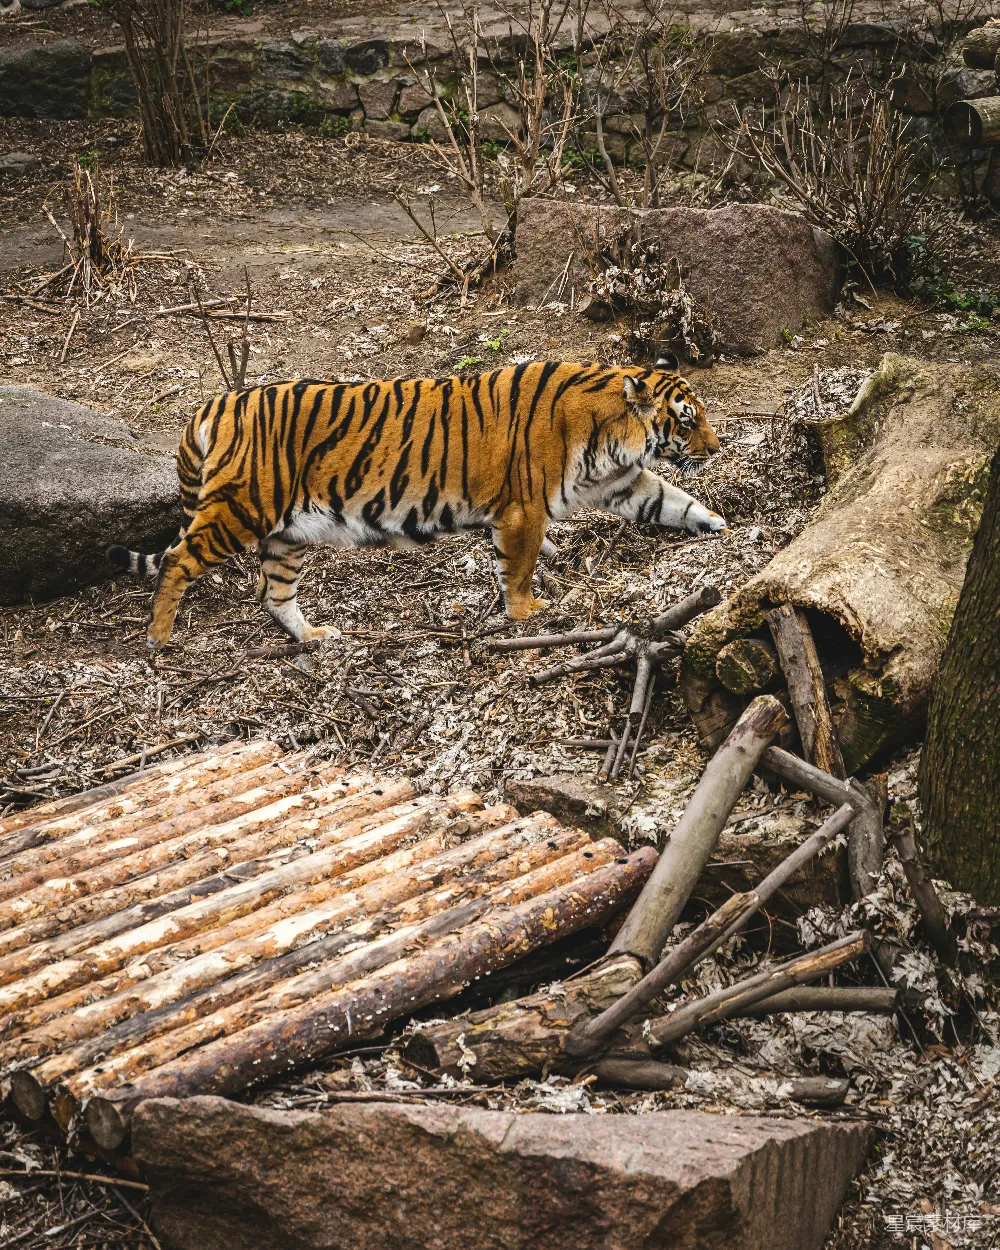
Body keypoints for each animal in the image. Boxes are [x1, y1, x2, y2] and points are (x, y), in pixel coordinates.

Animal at [107, 359, 725, 650]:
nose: (717, 448)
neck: (612, 435)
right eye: (687, 420)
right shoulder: (522, 510)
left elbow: (672, 500)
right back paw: (158, 638)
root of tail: (214, 402)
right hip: (240, 510)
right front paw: (528, 615)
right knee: (179, 559)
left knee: (272, 593)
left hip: (286, 534)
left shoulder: (622, 482)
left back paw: (313, 637)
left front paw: (719, 525)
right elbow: (520, 567)